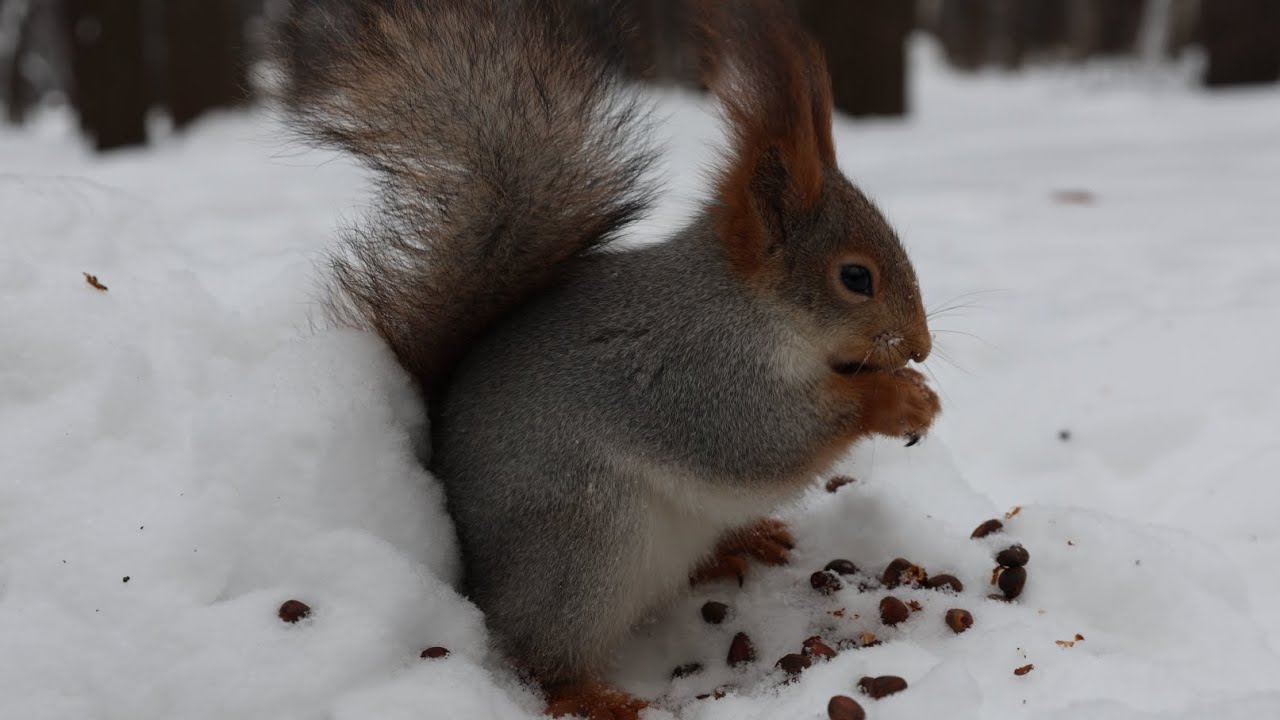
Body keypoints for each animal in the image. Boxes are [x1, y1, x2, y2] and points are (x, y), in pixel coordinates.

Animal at [281, 0, 939, 716]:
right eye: (856, 277)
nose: (922, 346)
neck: (745, 307)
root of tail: (477, 575)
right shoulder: (696, 376)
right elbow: (765, 441)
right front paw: (897, 399)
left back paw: (740, 543)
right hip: (585, 541)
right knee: (539, 660)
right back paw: (601, 696)